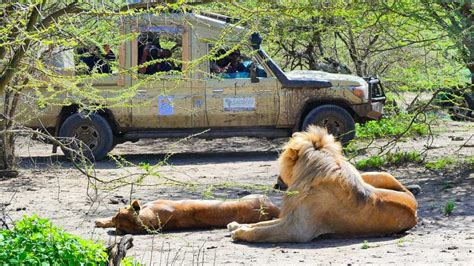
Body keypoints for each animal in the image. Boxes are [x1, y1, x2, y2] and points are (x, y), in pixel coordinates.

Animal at [228, 127, 416, 243]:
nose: (276, 183)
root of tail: (415, 207)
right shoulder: (291, 218)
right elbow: (261, 225)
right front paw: (236, 225)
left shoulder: (297, 230)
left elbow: (261, 231)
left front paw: (239, 232)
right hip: (375, 174)